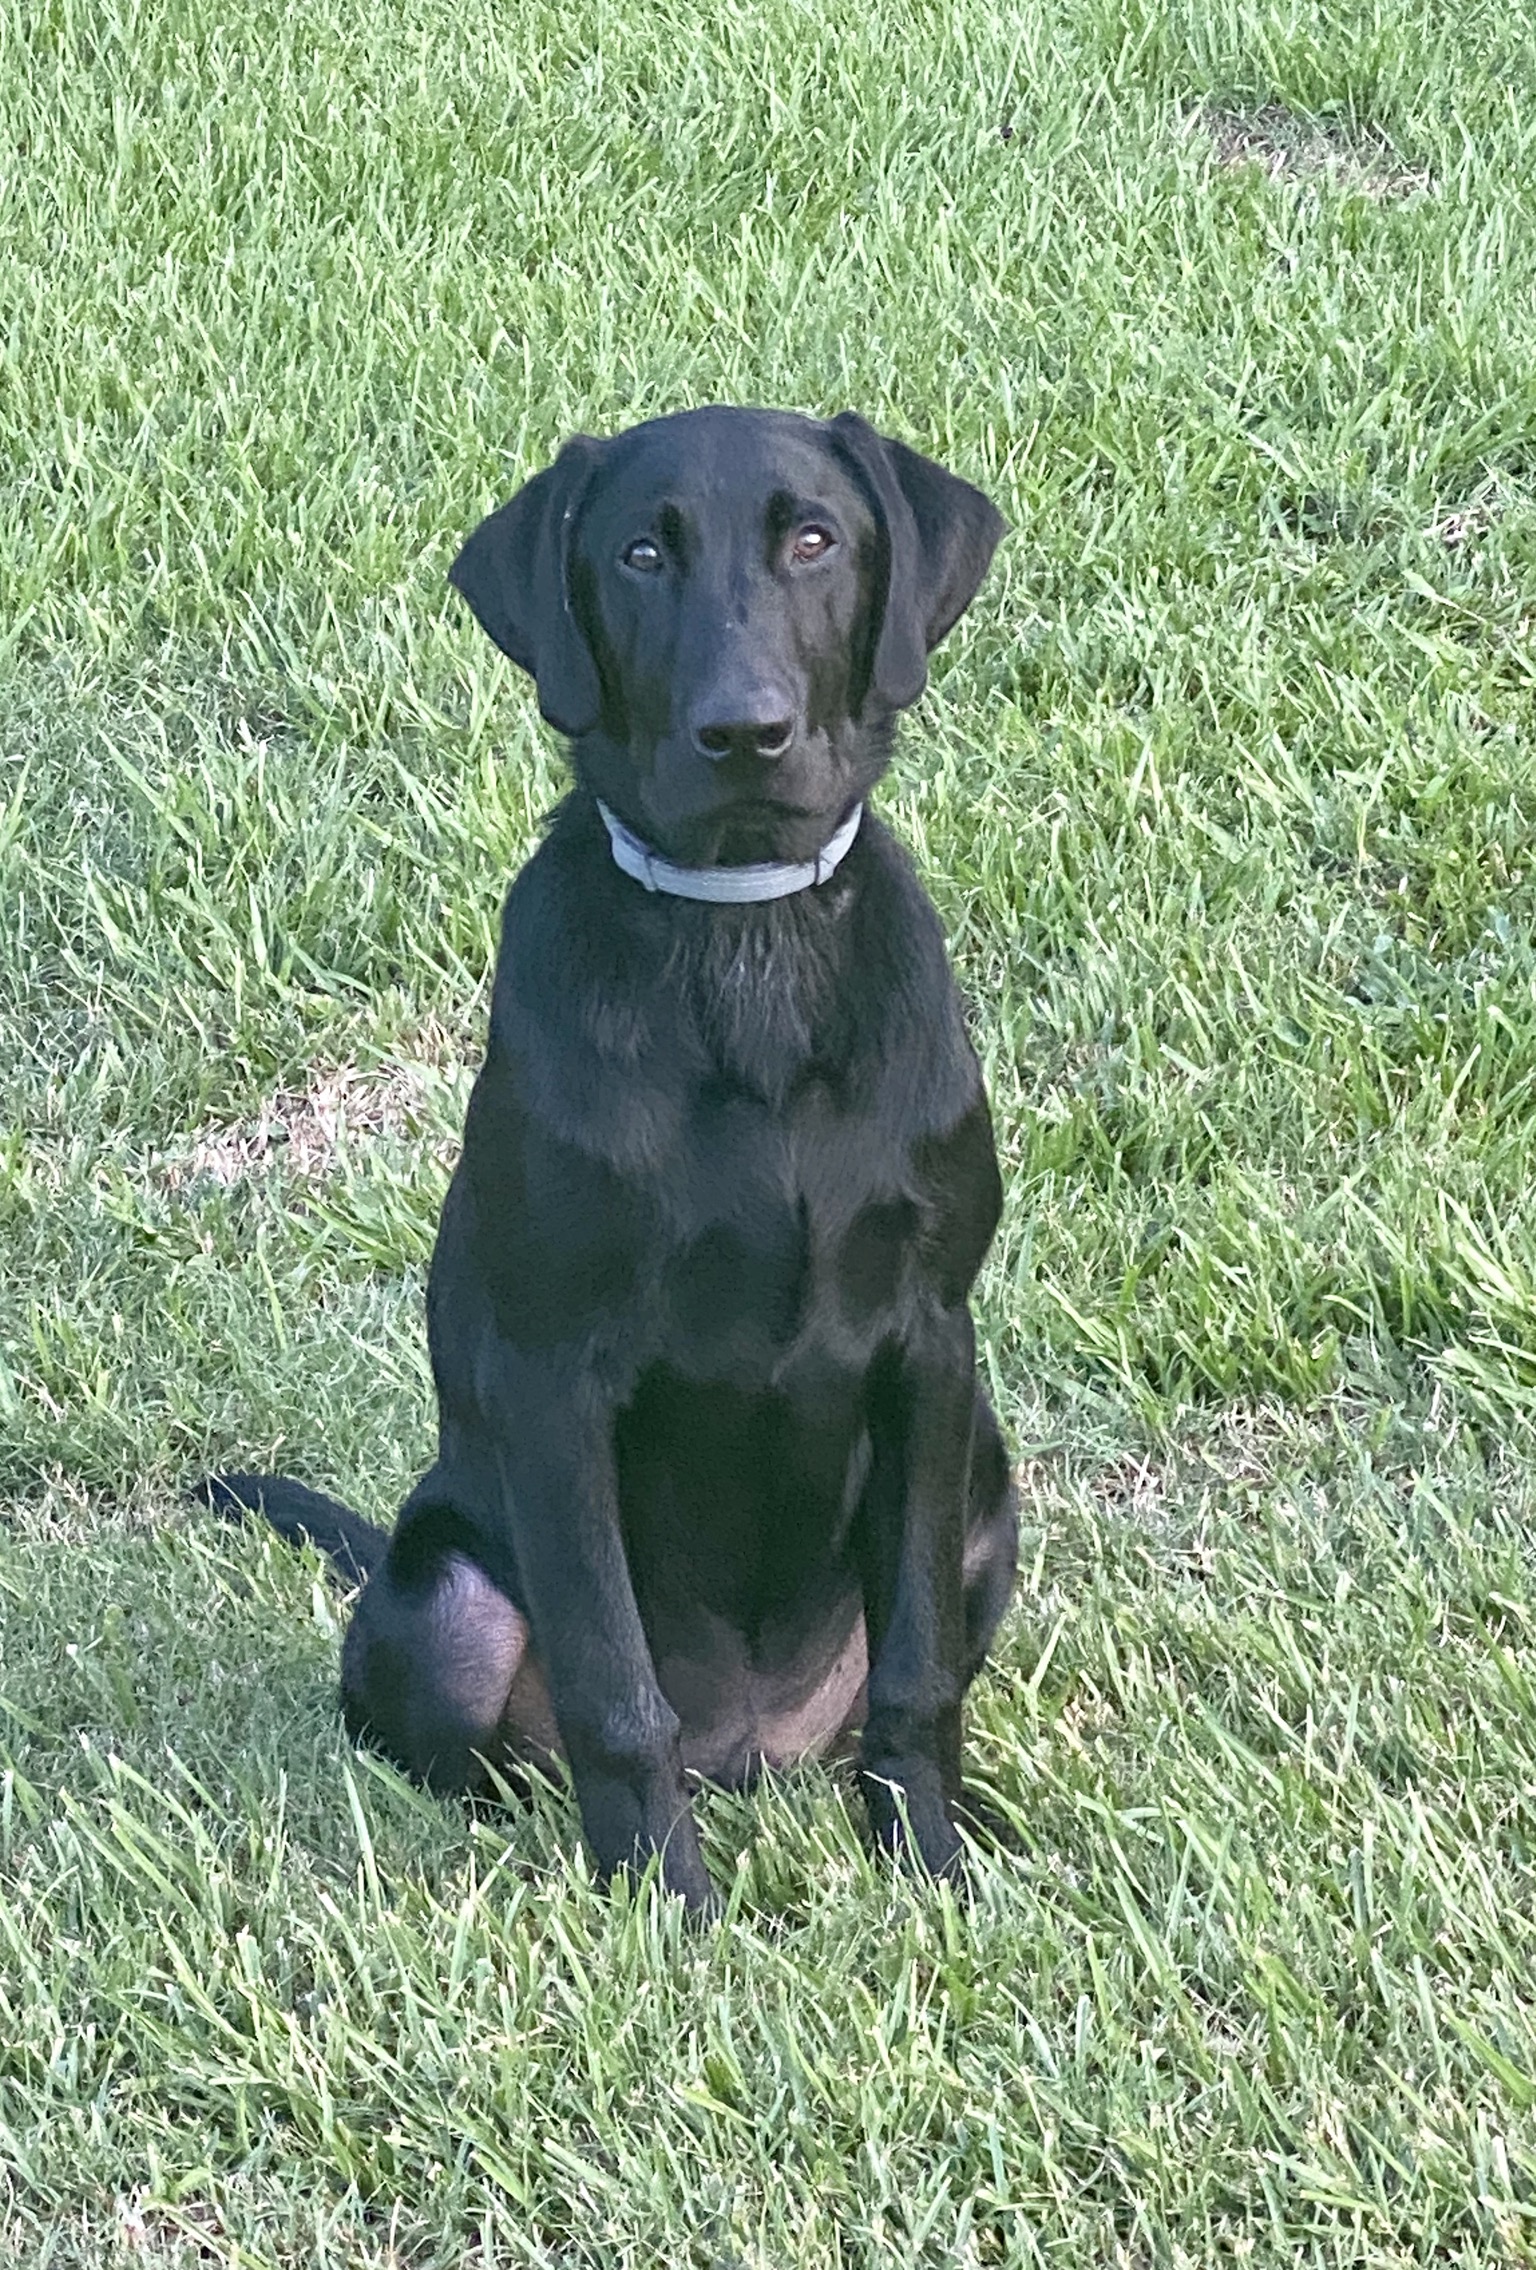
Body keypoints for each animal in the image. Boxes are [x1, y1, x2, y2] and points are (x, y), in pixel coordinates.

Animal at [206, 413, 1016, 1915]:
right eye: (641, 553)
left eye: (814, 537)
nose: (745, 730)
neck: (744, 941)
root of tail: (749, 1750)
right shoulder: (553, 1373)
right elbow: (611, 1685)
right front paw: (666, 1905)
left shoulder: (933, 1337)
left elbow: (921, 1666)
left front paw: (930, 1856)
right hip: (448, 1604)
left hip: (989, 1487)